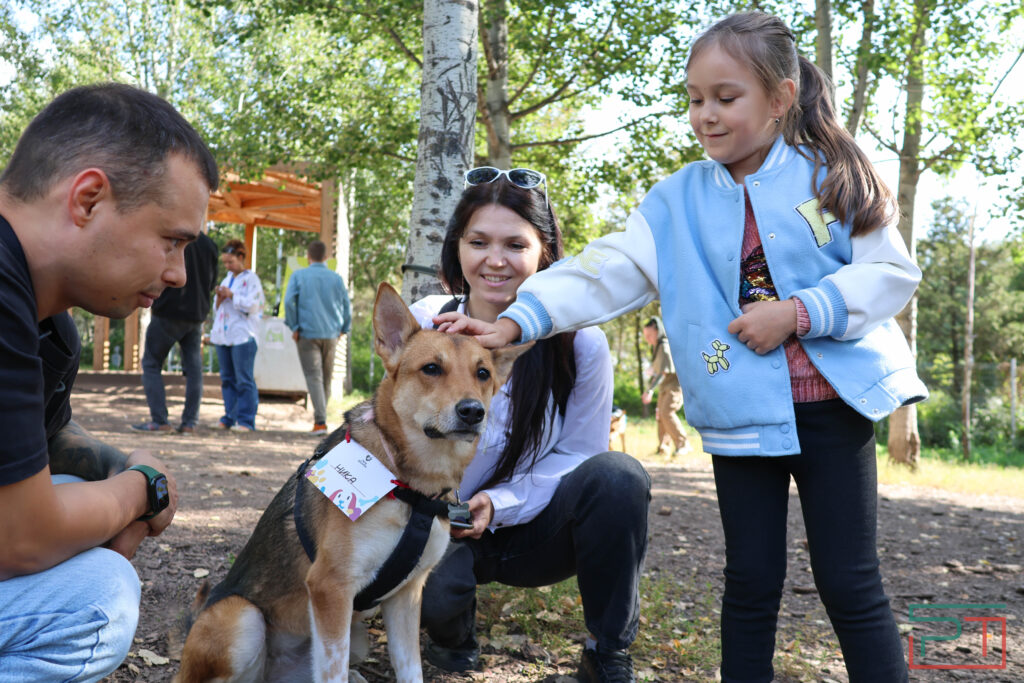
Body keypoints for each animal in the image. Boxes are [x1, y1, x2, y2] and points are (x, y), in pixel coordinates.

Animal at [175, 280, 532, 679]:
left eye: (483, 374)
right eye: (431, 368)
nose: (473, 411)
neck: (411, 484)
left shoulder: (407, 596)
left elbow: (411, 670)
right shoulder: (330, 587)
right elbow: (333, 671)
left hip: (354, 638)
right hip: (242, 617)